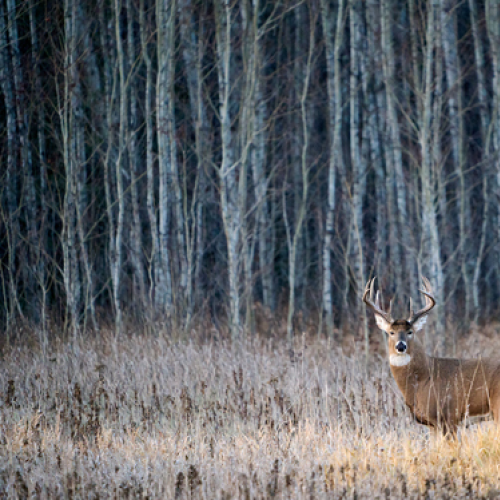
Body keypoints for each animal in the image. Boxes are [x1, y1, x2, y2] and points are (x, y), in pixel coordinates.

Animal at [363, 277, 500, 436]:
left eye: (410, 331)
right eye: (391, 332)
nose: (401, 346)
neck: (422, 378)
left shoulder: (448, 417)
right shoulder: (432, 424)